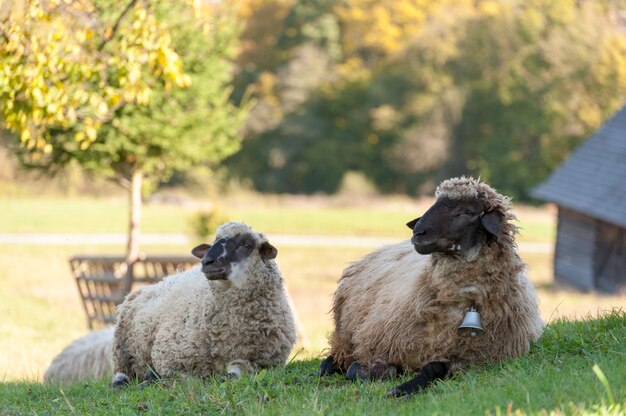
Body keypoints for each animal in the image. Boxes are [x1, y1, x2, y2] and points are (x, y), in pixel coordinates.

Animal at [109, 223, 294, 388]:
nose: (206, 261)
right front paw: (153, 378)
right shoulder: (169, 355)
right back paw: (122, 382)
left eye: (247, 245)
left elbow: (236, 373)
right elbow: (188, 378)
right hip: (121, 347)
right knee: (121, 371)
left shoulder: (264, 362)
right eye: (213, 243)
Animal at [320, 176, 544, 396]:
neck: (467, 302)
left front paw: (403, 388)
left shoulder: (470, 360)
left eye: (469, 212)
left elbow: (434, 368)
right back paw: (327, 367)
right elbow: (367, 368)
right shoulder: (380, 343)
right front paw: (372, 372)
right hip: (345, 333)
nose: (418, 233)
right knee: (337, 353)